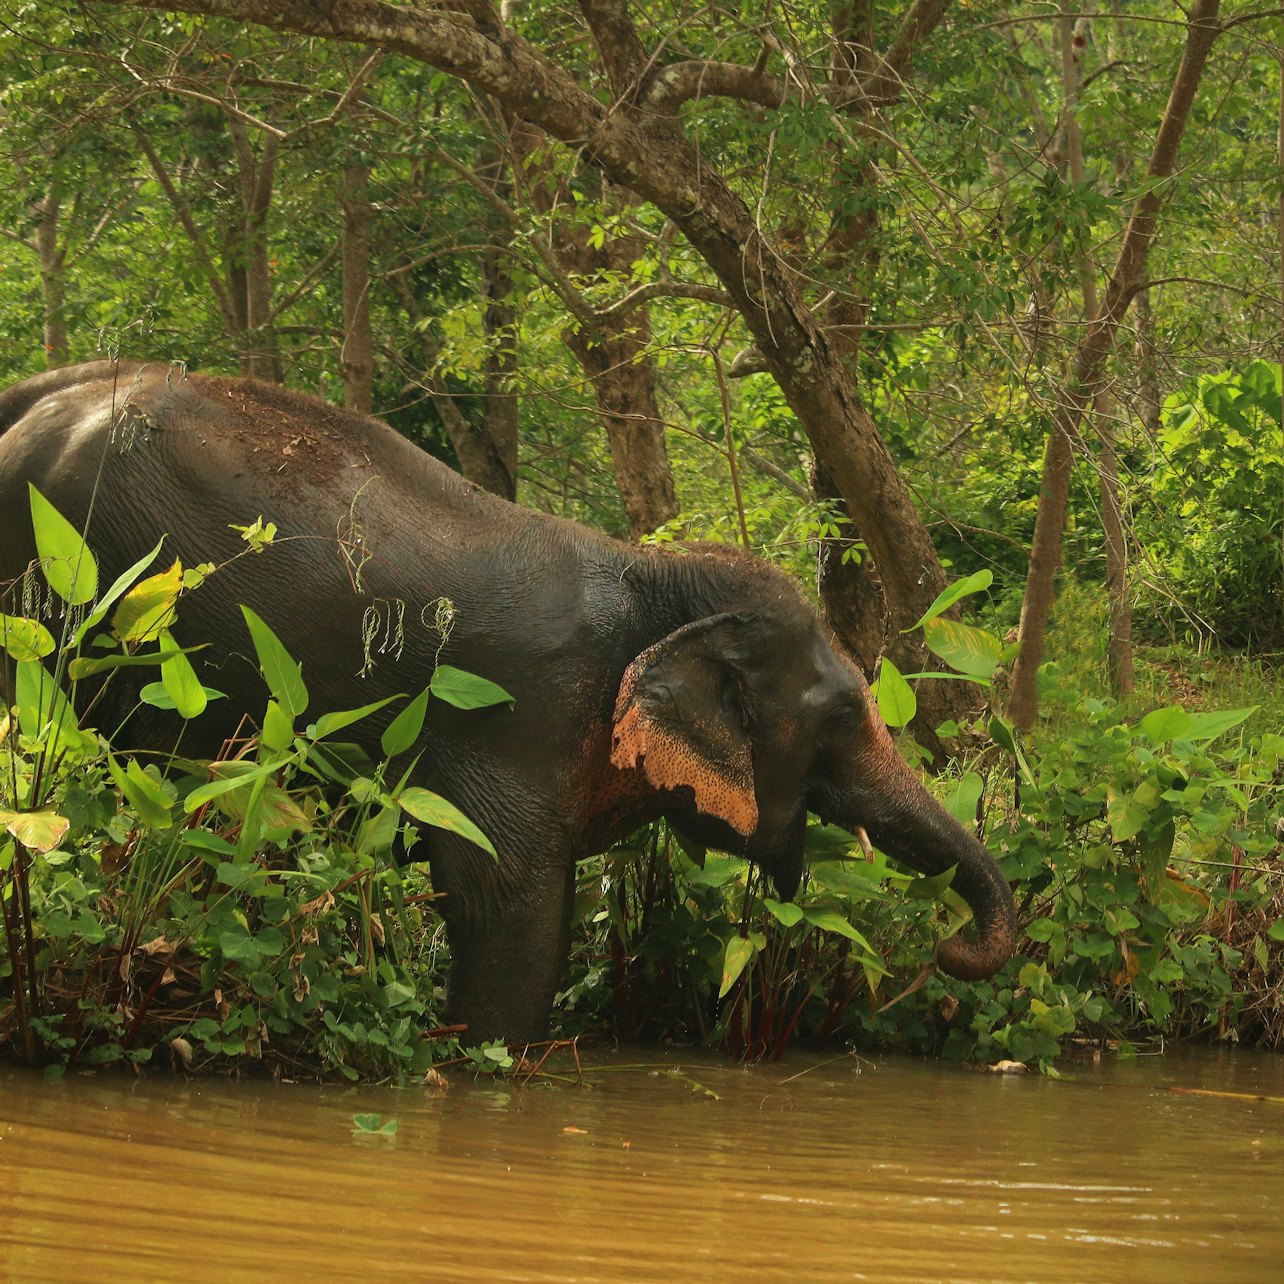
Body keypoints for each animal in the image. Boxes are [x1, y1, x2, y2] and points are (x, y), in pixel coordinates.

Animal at [0, 361, 1015, 1043]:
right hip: (71, 596)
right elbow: (508, 907)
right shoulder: (520, 720)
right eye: (841, 717)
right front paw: (480, 1060)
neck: (657, 580)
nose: (949, 950)